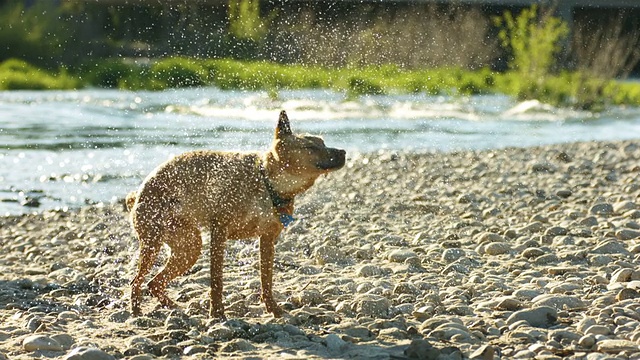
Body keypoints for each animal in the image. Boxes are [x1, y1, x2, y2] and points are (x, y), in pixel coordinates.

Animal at [129, 110, 344, 318]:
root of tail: (138, 194)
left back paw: (174, 307)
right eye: (311, 147)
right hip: (154, 244)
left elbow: (266, 279)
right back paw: (137, 312)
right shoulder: (219, 232)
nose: (343, 152)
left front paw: (273, 309)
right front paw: (217, 313)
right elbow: (217, 280)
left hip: (189, 247)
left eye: (323, 142)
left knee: (153, 283)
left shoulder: (267, 239)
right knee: (137, 281)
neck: (268, 183)